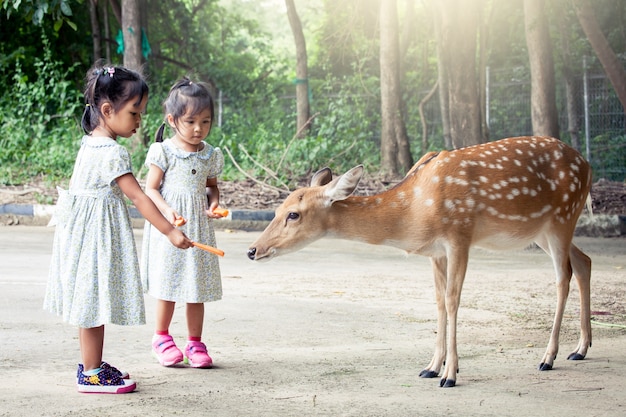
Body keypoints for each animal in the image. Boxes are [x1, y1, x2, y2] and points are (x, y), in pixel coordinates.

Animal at [247, 136, 588, 386]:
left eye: (294, 214)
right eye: (276, 209)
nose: (252, 250)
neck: (414, 212)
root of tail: (586, 164)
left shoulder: (459, 235)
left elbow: (452, 300)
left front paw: (450, 375)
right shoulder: (435, 251)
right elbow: (438, 302)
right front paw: (432, 367)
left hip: (563, 217)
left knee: (563, 276)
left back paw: (548, 357)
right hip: (542, 230)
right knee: (584, 262)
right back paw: (580, 350)